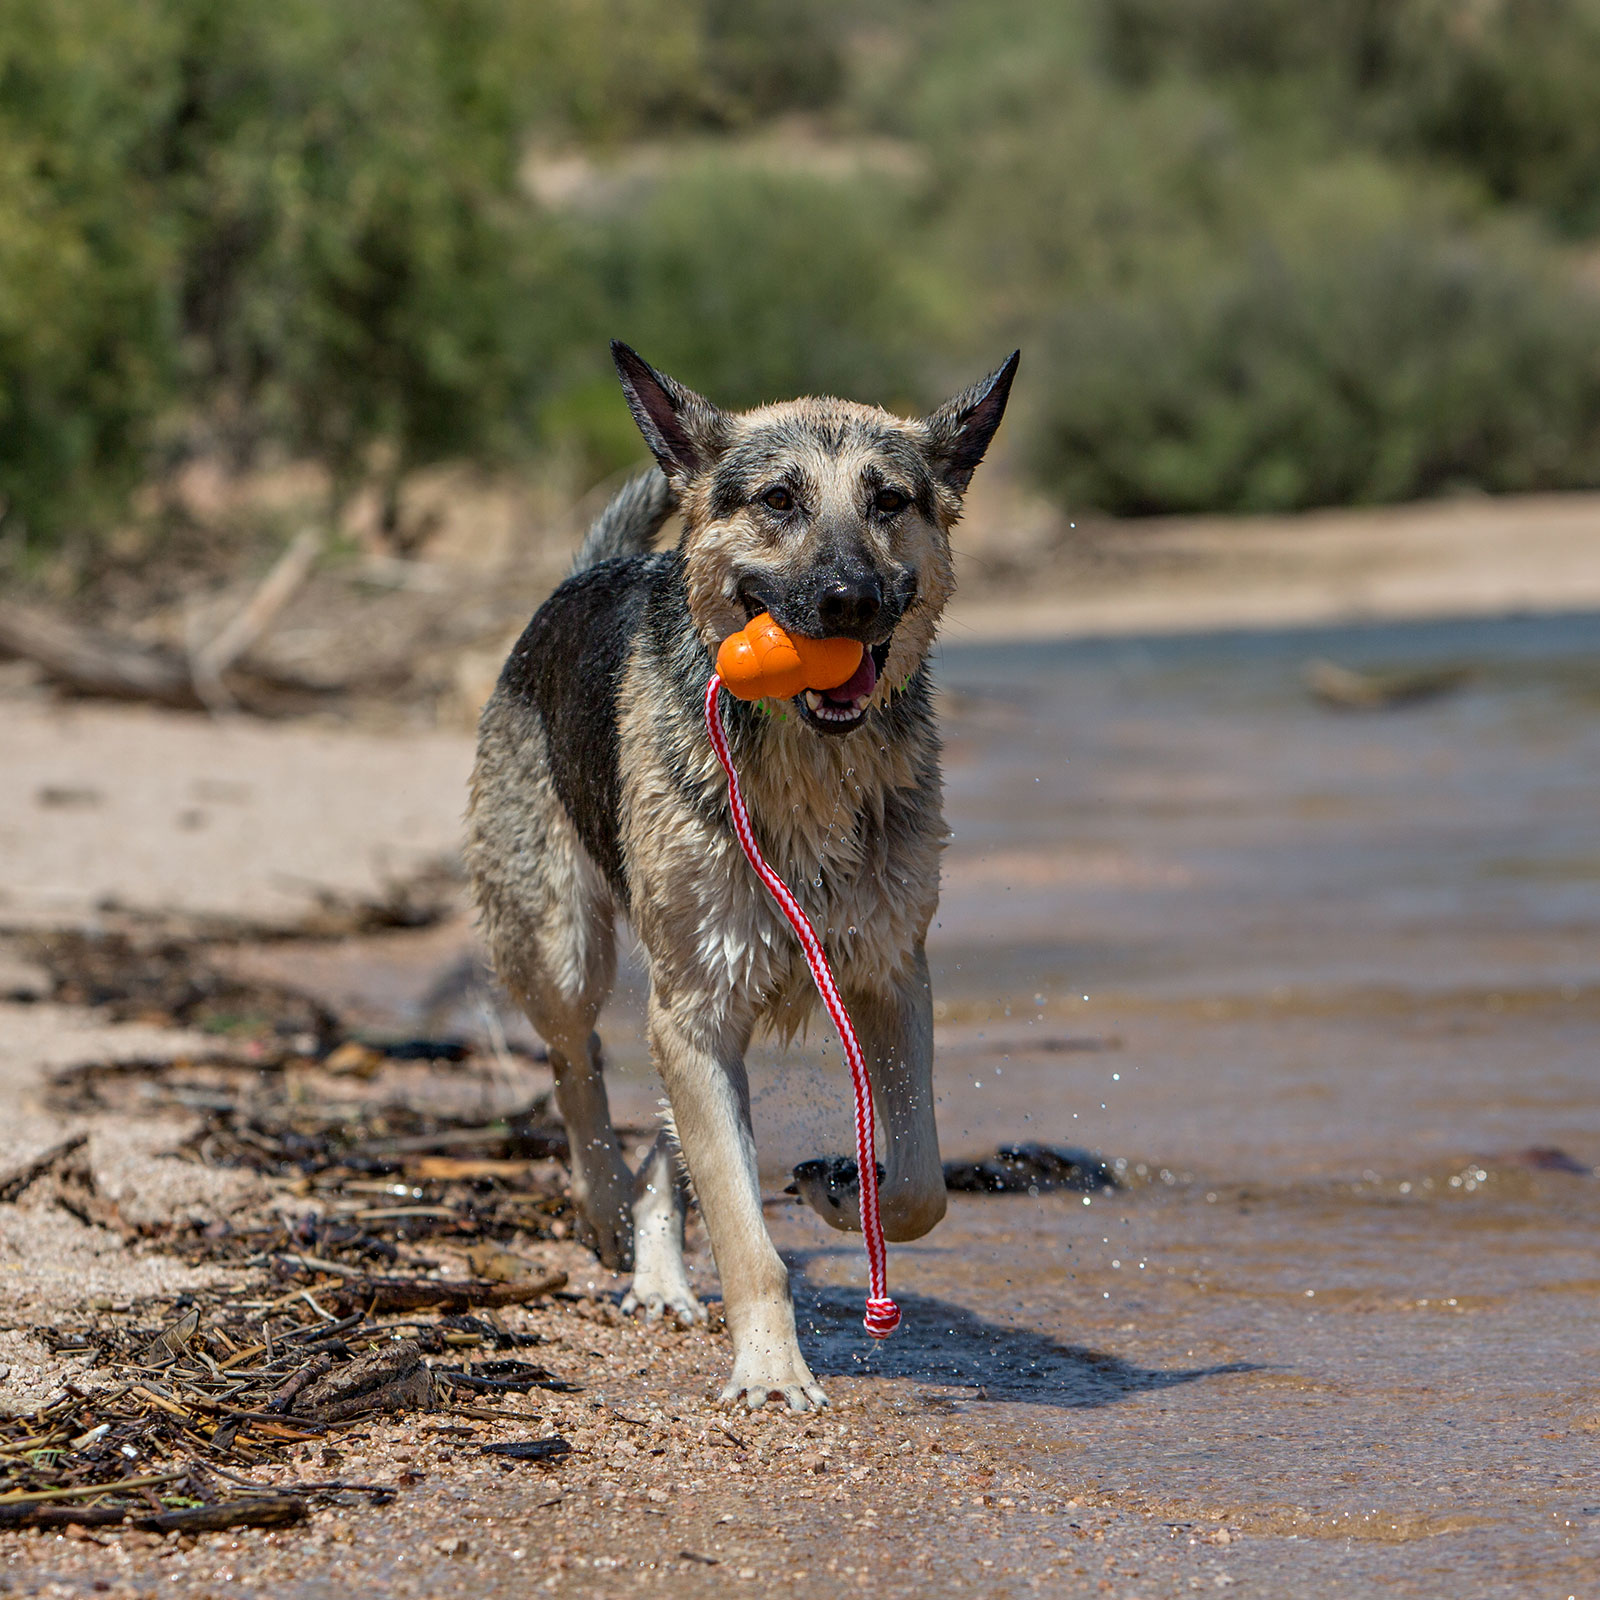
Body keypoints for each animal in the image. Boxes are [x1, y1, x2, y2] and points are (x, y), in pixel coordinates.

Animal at [467, 340, 1011, 1414]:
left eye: (889, 500)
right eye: (778, 500)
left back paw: (661, 1273)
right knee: (577, 1068)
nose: (849, 600)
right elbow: (747, 1238)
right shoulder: (696, 1012)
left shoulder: (890, 979)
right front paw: (769, 1372)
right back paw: (606, 1212)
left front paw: (846, 1188)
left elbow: (919, 1182)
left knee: (656, 1147)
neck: (807, 764)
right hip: (562, 949)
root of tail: (588, 573)